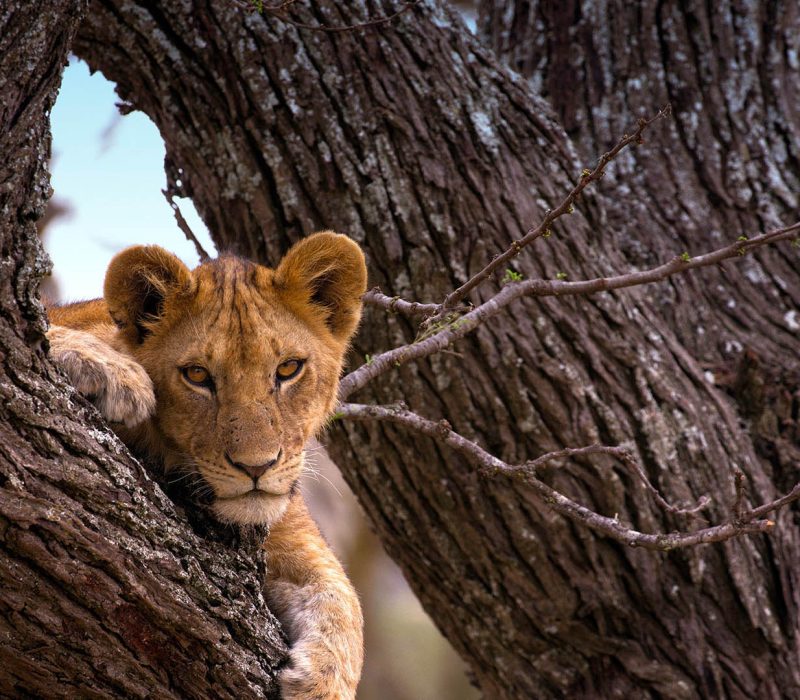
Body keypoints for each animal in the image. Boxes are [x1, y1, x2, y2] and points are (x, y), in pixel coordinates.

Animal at [47, 232, 367, 699]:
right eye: (197, 375)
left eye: (288, 369)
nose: (257, 467)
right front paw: (114, 371)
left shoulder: (290, 532)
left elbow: (343, 597)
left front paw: (321, 685)